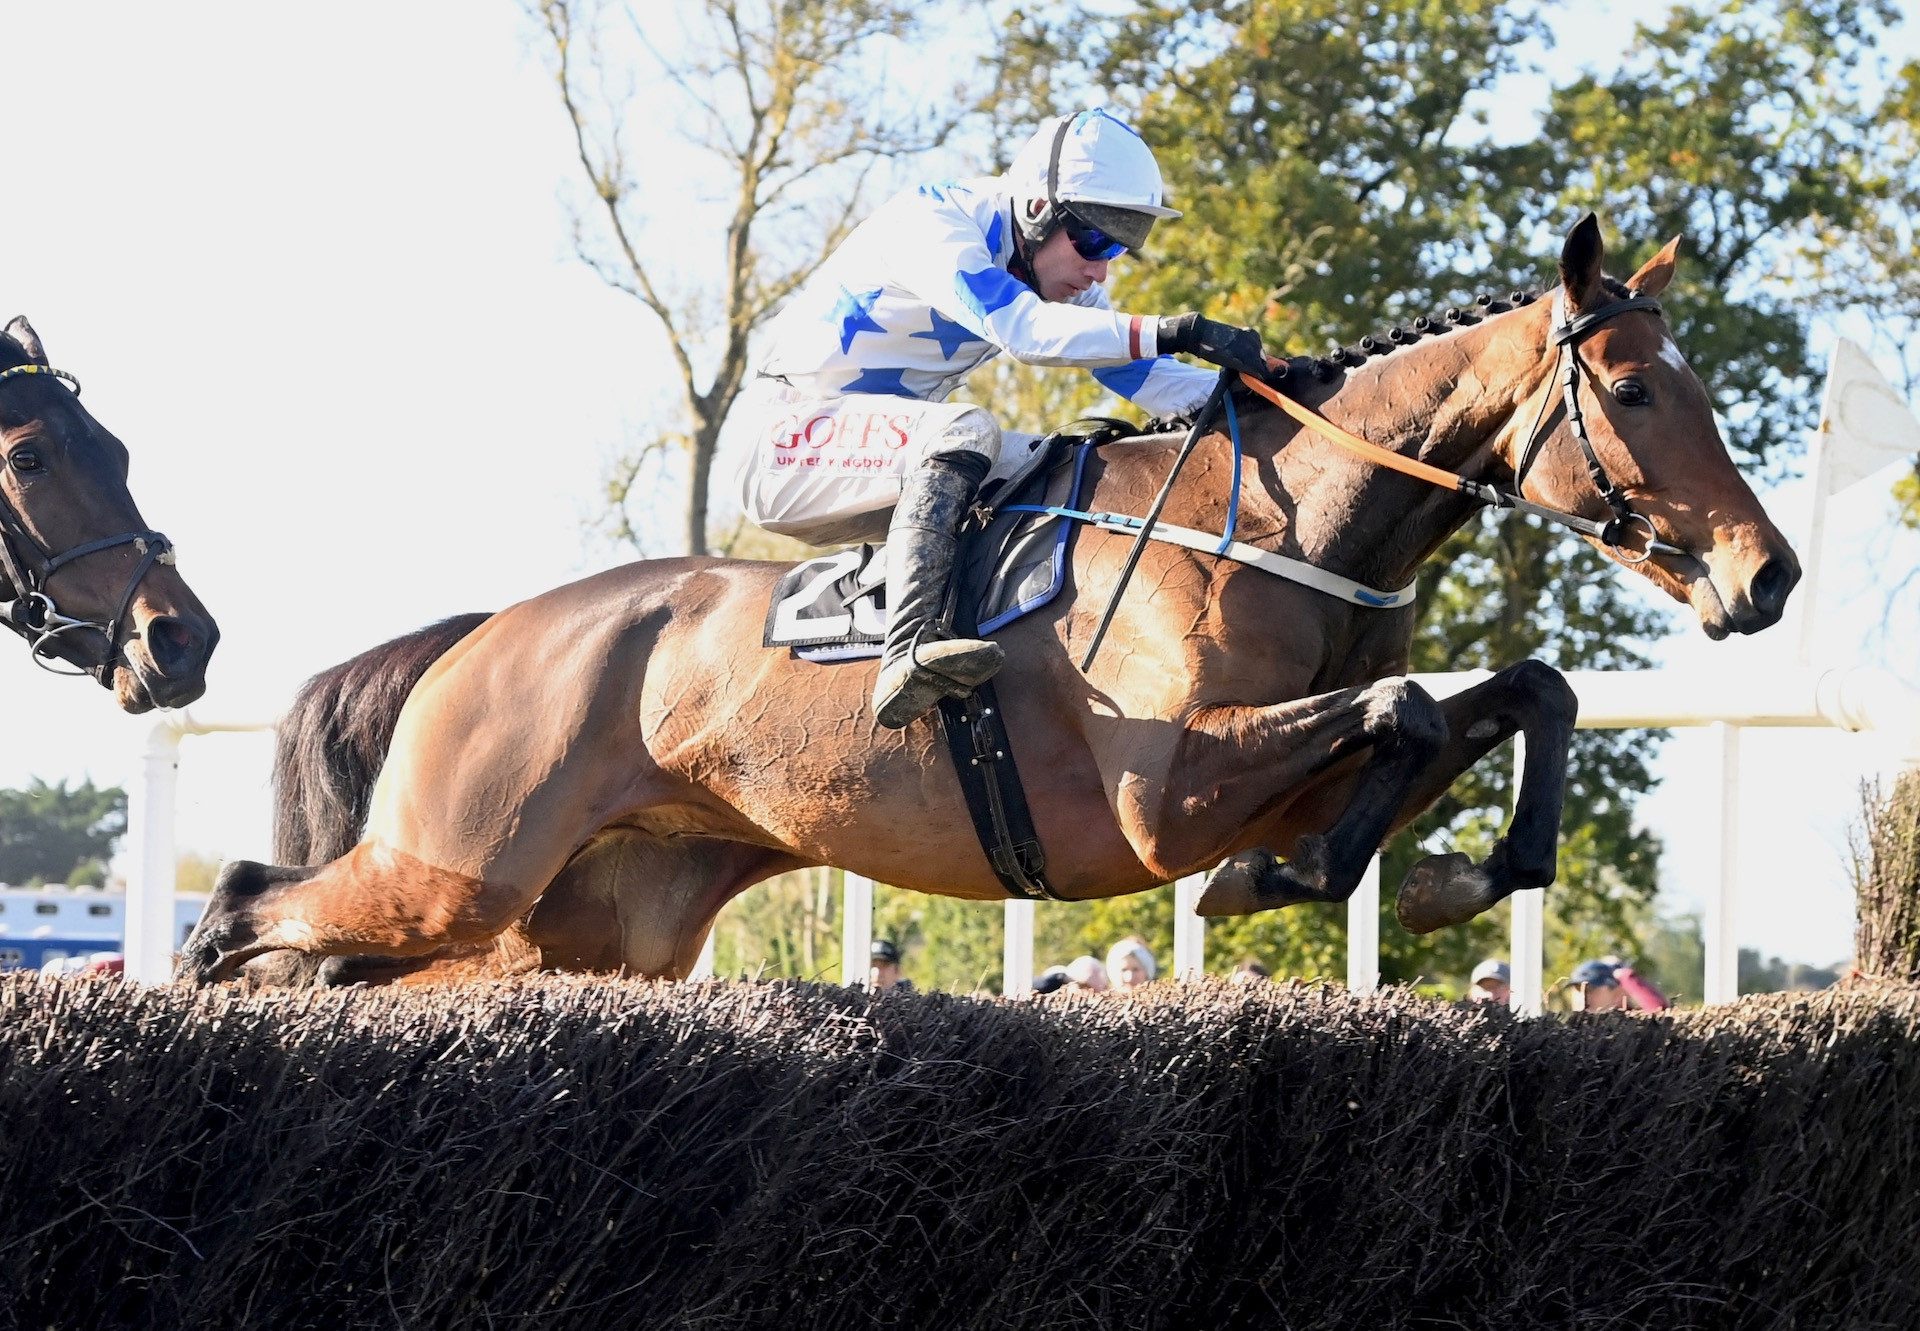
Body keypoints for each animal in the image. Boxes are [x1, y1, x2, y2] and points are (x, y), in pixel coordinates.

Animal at [180, 215, 1797, 983]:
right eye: (1639, 389)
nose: (1766, 572)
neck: (1276, 527)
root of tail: (490, 632)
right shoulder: (1157, 794)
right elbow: (1401, 707)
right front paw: (1294, 878)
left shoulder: (1270, 760)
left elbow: (1515, 692)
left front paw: (1453, 873)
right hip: (456, 865)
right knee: (248, 905)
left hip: (576, 922)